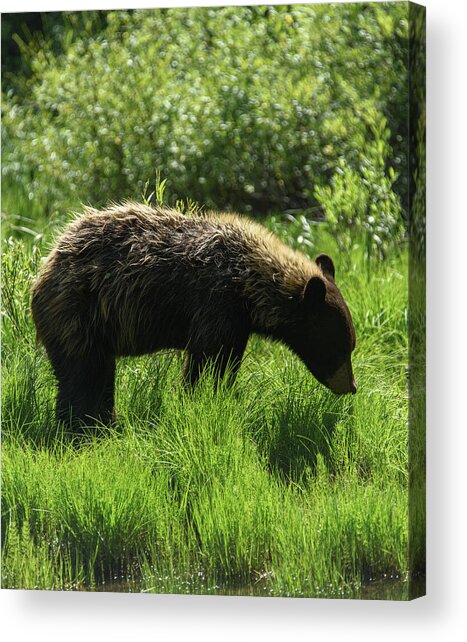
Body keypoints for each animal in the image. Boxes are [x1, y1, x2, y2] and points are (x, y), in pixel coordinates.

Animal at [31, 202, 356, 429]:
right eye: (342, 346)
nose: (351, 387)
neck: (248, 287)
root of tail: (49, 260)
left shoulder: (237, 325)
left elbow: (227, 363)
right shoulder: (214, 305)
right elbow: (205, 361)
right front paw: (199, 398)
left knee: (98, 373)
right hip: (78, 313)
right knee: (83, 373)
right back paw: (82, 425)